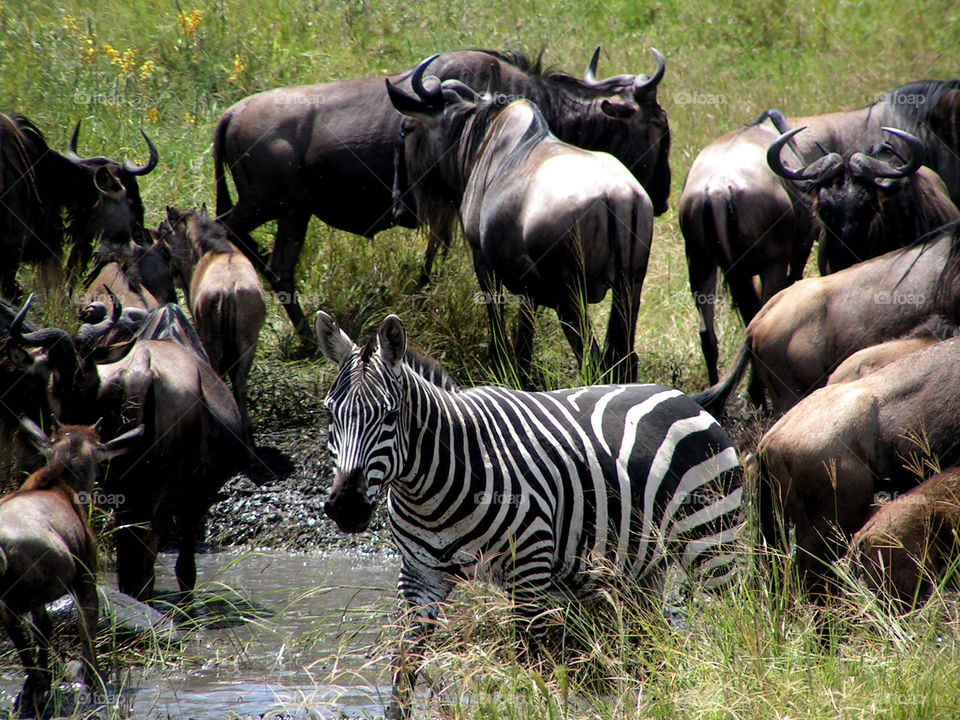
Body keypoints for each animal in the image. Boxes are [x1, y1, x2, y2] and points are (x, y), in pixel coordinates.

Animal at [0, 420, 142, 716]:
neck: (59, 480)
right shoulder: (86, 577)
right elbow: (86, 631)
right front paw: (95, 685)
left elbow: (44, 625)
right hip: (54, 577)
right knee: (17, 621)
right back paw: (36, 683)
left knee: (25, 625)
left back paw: (35, 683)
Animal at [158, 205, 264, 448]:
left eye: (165, 232)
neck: (214, 249)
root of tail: (230, 288)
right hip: (248, 341)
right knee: (239, 383)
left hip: (212, 340)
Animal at [316, 310, 744, 720]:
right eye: (330, 413)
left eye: (390, 416)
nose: (346, 507)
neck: (431, 488)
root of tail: (685, 397)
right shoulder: (419, 574)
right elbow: (404, 667)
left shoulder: (529, 566)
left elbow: (528, 667)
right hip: (641, 566)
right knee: (650, 642)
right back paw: (654, 700)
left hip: (714, 540)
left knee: (735, 618)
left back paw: (737, 685)